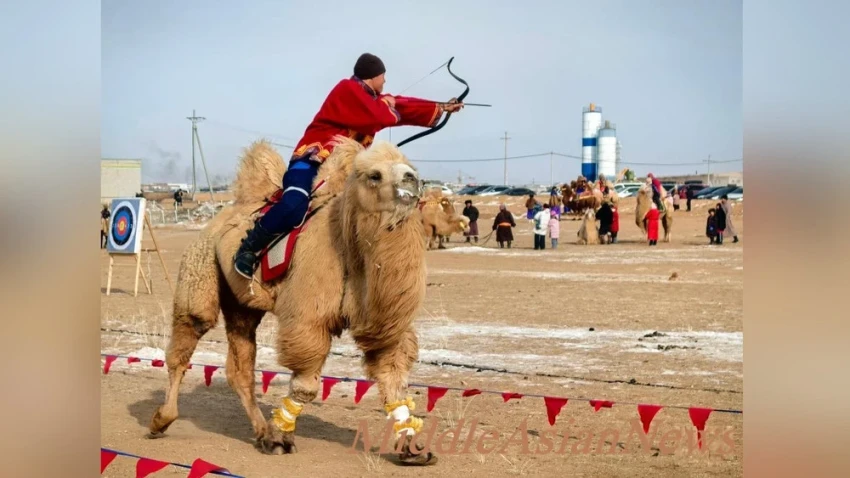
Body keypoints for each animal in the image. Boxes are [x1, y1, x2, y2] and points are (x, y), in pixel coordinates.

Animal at [148, 136, 439, 465]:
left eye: (409, 167)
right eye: (374, 175)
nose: (411, 180)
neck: (351, 249)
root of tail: (219, 219)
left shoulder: (384, 325)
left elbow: (393, 381)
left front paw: (413, 449)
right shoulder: (308, 319)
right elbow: (306, 386)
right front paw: (282, 438)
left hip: (242, 305)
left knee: (240, 368)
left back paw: (261, 431)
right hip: (200, 267)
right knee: (187, 337)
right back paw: (161, 420)